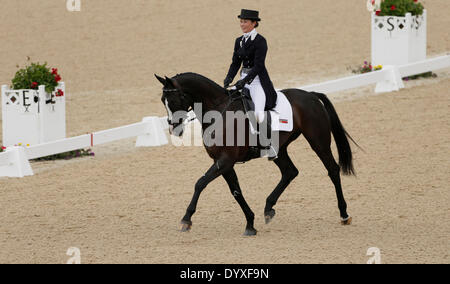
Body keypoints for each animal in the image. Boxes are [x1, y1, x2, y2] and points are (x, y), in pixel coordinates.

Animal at [156, 72, 356, 235]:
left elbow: (200, 183)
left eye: (173, 100)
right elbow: (235, 191)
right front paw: (250, 224)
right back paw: (268, 209)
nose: (173, 129)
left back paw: (344, 214)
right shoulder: (223, 162)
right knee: (290, 172)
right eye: (162, 100)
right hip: (279, 149)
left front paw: (186, 220)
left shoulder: (225, 160)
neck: (219, 112)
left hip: (318, 142)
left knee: (332, 170)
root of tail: (311, 95)